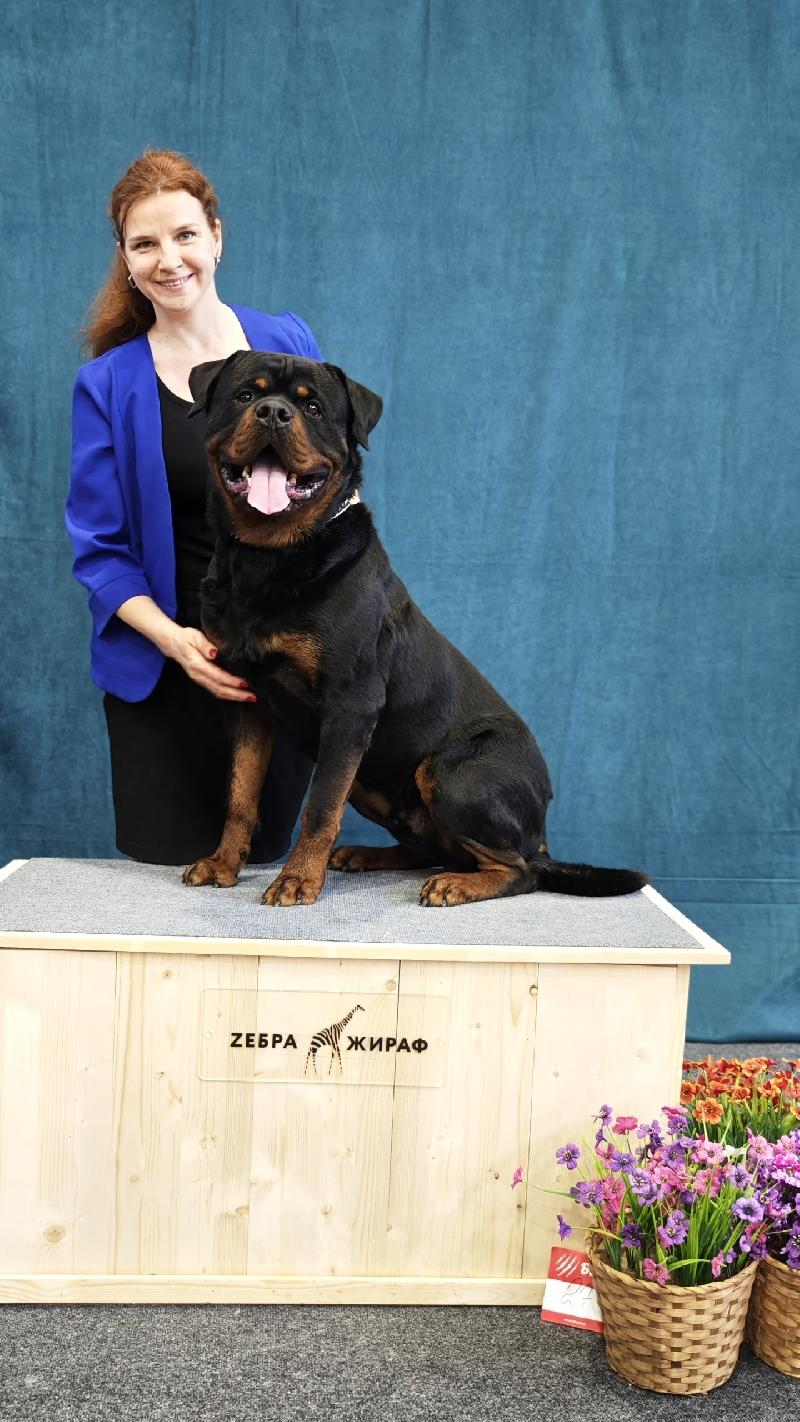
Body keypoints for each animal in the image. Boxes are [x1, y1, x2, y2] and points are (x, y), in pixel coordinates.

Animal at [181, 351, 648, 908]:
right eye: (246, 396)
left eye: (313, 407)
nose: (274, 413)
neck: (270, 557)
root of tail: (543, 830)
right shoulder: (245, 698)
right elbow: (240, 794)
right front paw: (223, 863)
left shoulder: (351, 706)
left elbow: (320, 807)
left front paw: (296, 881)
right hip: (373, 779)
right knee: (434, 846)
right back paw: (366, 856)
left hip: (448, 772)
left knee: (519, 869)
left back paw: (455, 884)